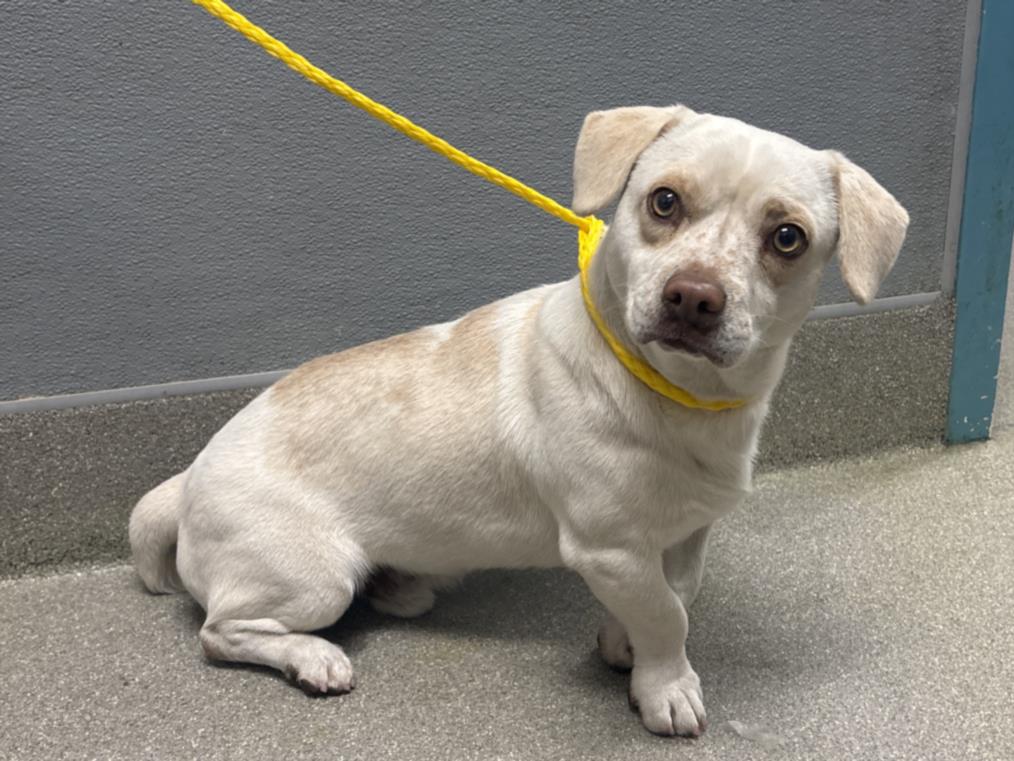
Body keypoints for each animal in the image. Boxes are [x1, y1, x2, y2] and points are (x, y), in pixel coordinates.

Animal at [130, 104, 908, 736]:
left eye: (787, 237)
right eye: (664, 201)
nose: (693, 296)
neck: (680, 398)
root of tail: (188, 479)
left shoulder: (686, 534)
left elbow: (674, 596)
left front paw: (628, 647)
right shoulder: (608, 548)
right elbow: (667, 614)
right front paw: (668, 685)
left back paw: (401, 589)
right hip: (313, 579)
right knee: (220, 632)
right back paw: (312, 657)